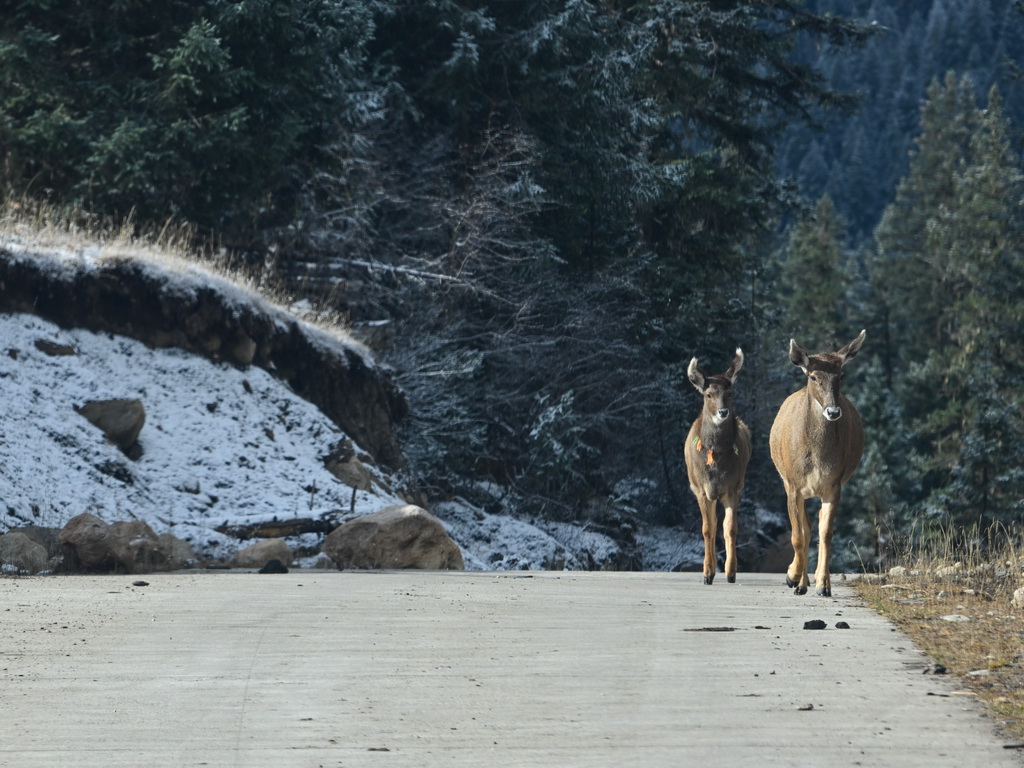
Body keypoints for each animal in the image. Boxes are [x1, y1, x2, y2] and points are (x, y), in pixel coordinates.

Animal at [684, 348, 757, 581]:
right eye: (708, 394)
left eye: (730, 392)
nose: (723, 412)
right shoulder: (700, 489)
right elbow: (707, 528)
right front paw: (707, 573)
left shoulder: (733, 488)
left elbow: (731, 528)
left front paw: (731, 572)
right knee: (712, 525)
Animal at [770, 327, 864, 598]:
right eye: (813, 376)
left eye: (841, 374)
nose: (833, 412)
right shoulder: (792, 484)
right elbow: (797, 535)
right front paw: (791, 577)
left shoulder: (834, 485)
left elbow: (827, 532)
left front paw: (823, 585)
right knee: (805, 527)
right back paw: (800, 583)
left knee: (816, 523)